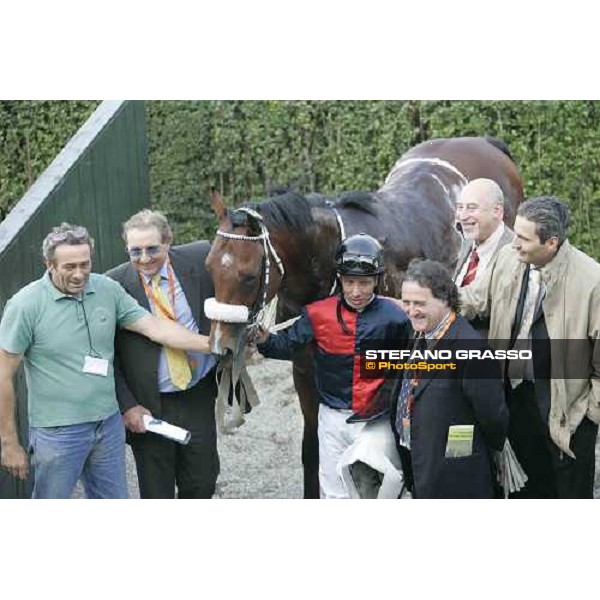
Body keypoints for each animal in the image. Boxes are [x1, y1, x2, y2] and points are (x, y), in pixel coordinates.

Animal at [204, 138, 524, 500]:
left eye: (247, 276)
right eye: (209, 266)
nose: (220, 346)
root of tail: (481, 141)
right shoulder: (305, 372)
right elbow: (312, 448)